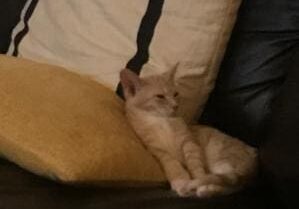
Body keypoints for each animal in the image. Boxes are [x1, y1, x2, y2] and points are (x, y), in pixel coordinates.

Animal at [119, 67, 258, 198]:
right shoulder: (156, 149)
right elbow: (172, 164)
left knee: (228, 182)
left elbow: (195, 163)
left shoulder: (189, 141)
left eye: (175, 94)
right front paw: (181, 181)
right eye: (160, 96)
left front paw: (197, 179)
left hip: (221, 157)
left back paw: (206, 188)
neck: (160, 121)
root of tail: (253, 158)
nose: (175, 106)